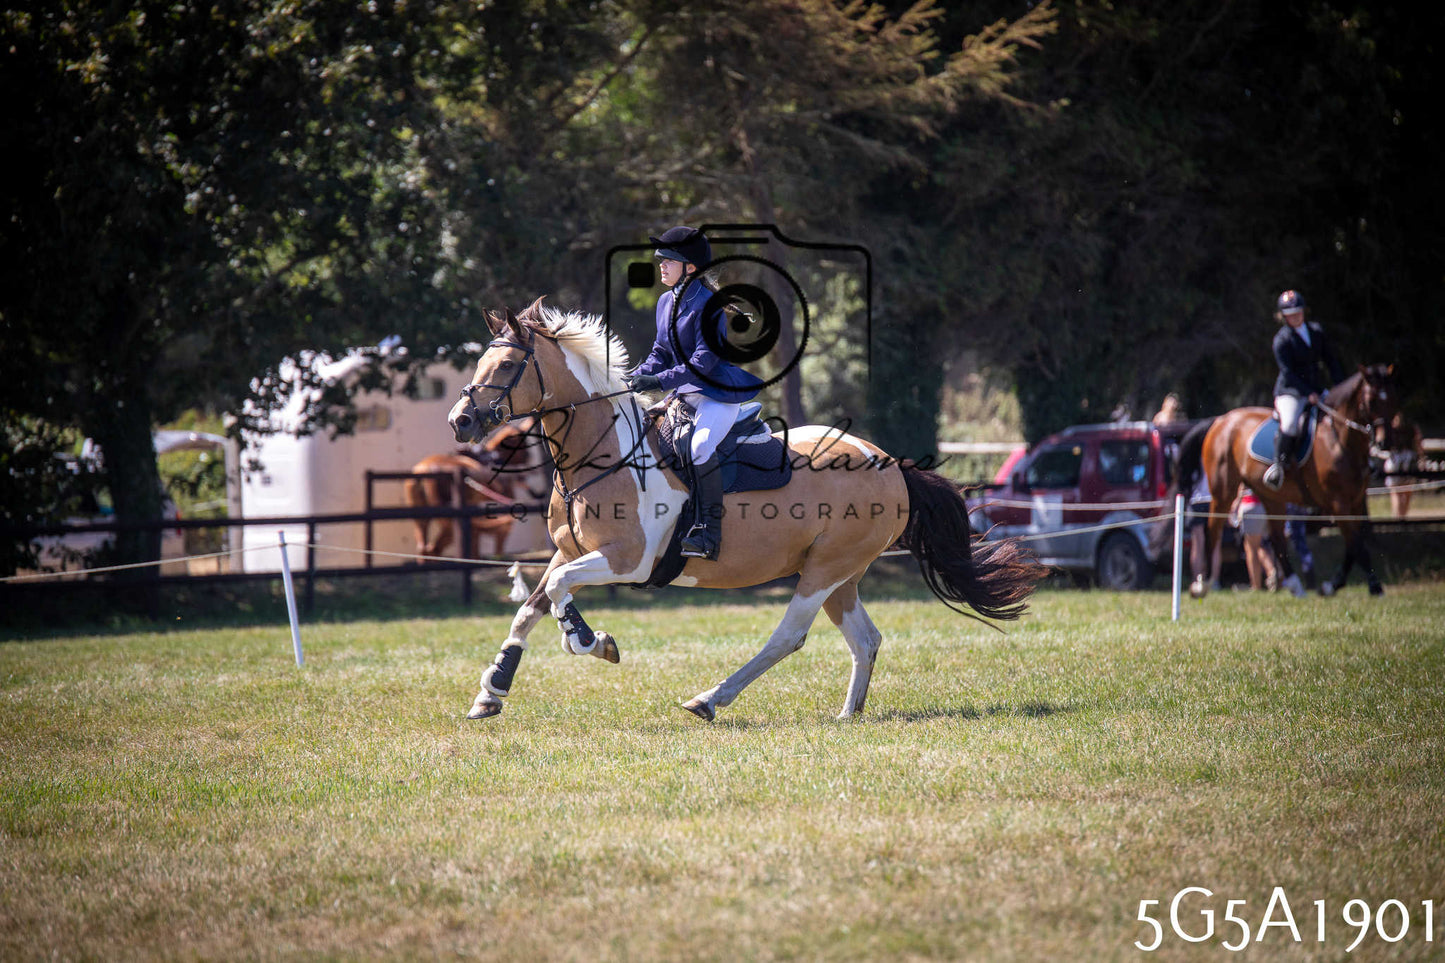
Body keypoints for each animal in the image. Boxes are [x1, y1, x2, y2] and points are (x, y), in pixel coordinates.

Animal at [403, 421, 542, 559]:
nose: (529, 457)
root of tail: (425, 472)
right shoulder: (500, 530)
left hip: (421, 520)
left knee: (424, 549)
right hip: (452, 525)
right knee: (435, 549)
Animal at [446, 298, 1043, 722]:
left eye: (507, 364)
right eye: (480, 360)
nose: (461, 422)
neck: (605, 452)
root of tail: (892, 464)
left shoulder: (626, 560)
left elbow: (559, 591)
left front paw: (590, 642)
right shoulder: (567, 551)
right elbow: (533, 604)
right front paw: (492, 691)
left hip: (824, 570)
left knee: (789, 636)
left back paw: (710, 699)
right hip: (840, 574)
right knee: (865, 639)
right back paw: (849, 713)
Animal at [1185, 364, 1397, 598]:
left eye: (1392, 399)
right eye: (1371, 400)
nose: (1385, 442)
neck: (1339, 439)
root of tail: (1221, 420)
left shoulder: (1357, 501)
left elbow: (1355, 545)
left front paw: (1333, 585)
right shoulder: (1338, 503)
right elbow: (1357, 545)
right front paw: (1373, 586)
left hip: (1271, 496)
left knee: (1276, 539)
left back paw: (1295, 585)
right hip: (1224, 492)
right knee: (1212, 530)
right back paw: (1202, 584)